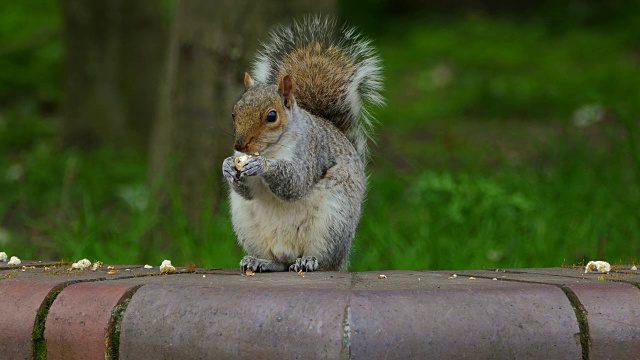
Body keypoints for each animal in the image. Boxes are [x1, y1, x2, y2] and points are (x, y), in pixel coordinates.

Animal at [222, 15, 382, 272]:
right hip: (248, 225)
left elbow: (296, 182)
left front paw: (262, 166)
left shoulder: (310, 152)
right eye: (234, 113)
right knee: (279, 263)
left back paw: (308, 261)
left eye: (272, 116)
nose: (241, 145)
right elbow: (247, 190)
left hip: (332, 222)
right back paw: (260, 261)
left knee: (324, 261)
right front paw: (228, 166)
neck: (271, 149)